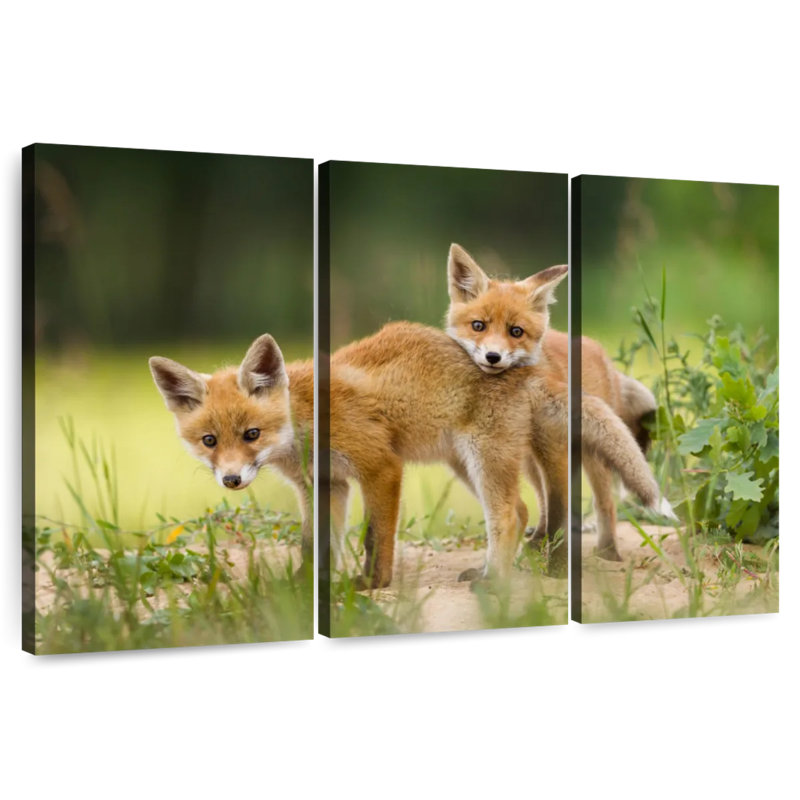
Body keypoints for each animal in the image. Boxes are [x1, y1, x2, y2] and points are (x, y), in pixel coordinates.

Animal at [445, 242, 673, 561]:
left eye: (516, 332)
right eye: (478, 325)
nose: (493, 357)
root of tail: (599, 350)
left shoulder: (551, 447)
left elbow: (557, 500)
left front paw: (549, 546)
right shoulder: (531, 452)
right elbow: (546, 500)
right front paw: (540, 542)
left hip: (591, 452)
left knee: (606, 503)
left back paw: (607, 552)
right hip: (534, 458)